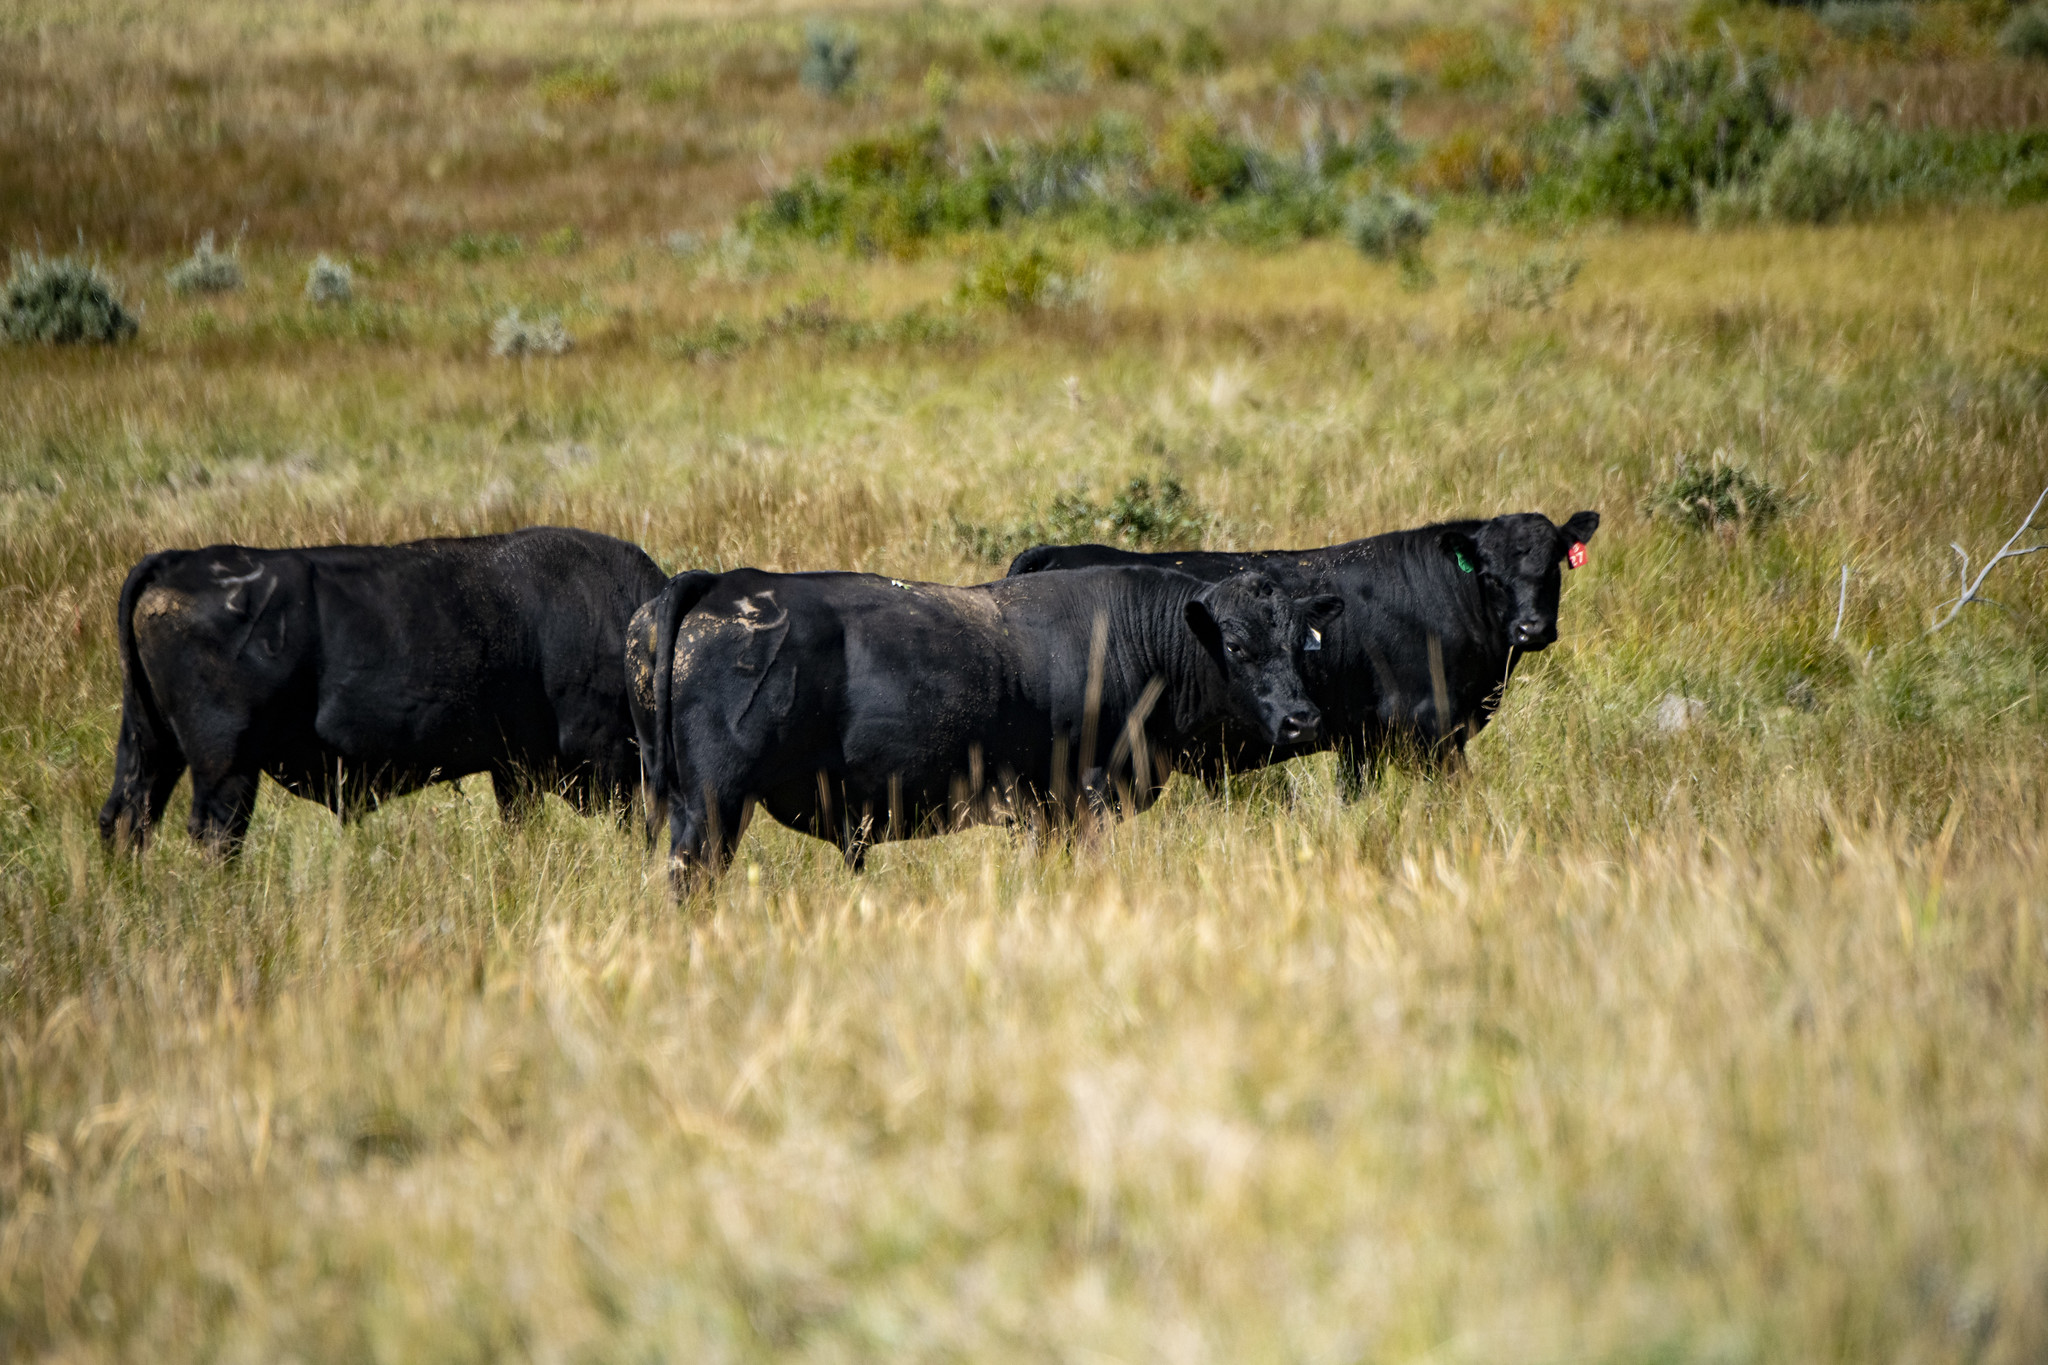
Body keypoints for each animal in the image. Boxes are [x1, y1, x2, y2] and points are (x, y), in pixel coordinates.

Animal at [101, 527, 663, 855]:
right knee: (216, 833)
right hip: (226, 767)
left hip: (150, 745)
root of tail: (177, 562)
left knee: (126, 817)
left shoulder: (513, 767)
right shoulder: (611, 761)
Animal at [626, 560, 1343, 879]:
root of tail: (725, 580)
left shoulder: (1037, 809)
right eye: (1239, 647)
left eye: (1299, 643)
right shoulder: (1084, 793)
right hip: (714, 807)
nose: (1303, 720)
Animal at [1007, 509, 1597, 789]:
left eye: (1553, 567)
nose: (1531, 628)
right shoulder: (1430, 730)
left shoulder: (1360, 740)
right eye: (1491, 575)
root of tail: (1056, 550)